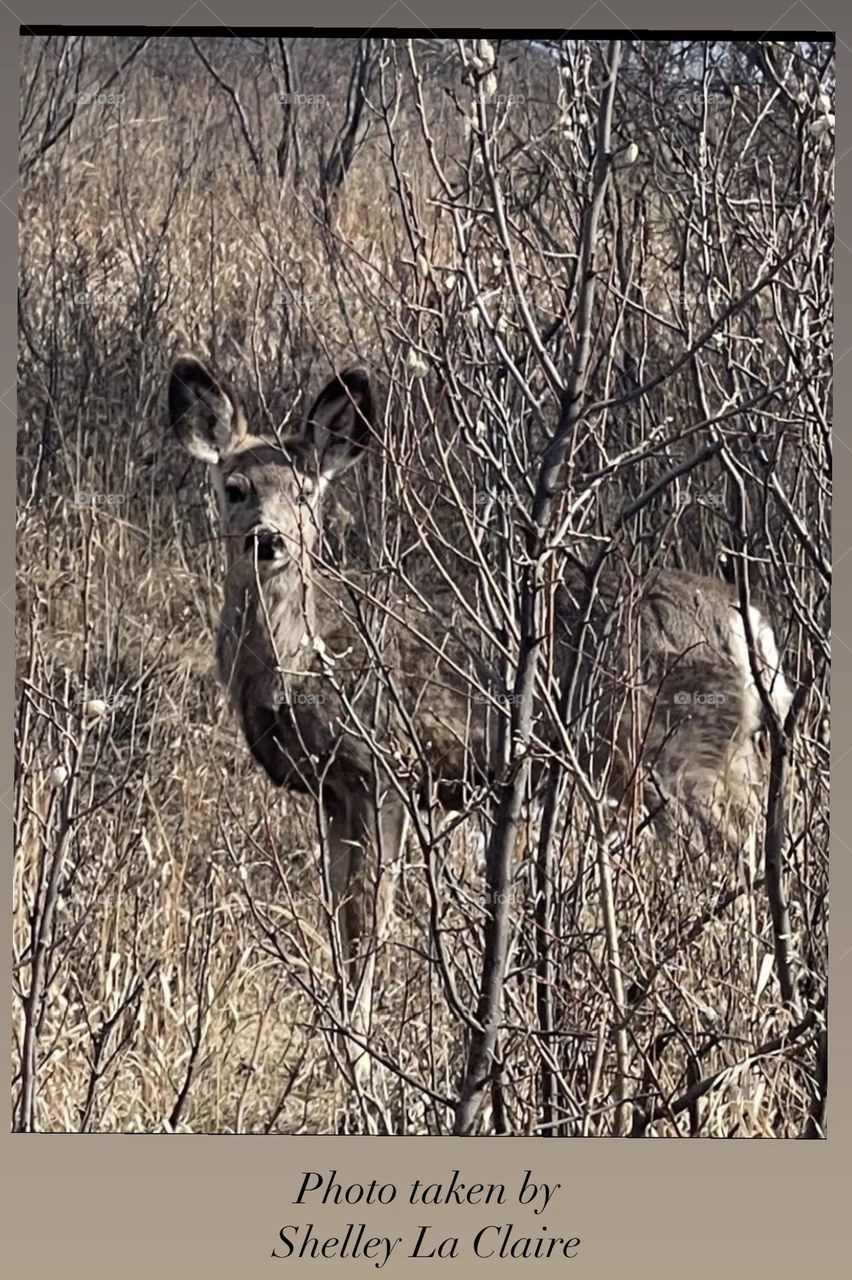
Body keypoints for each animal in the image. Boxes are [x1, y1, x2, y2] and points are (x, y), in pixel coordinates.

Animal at [168, 353, 794, 1099]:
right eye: (235, 488)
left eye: (306, 493)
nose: (269, 540)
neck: (306, 661)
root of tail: (748, 627)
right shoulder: (333, 792)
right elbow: (342, 923)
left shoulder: (387, 767)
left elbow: (369, 922)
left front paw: (363, 1065)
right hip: (718, 754)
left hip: (685, 755)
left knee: (748, 854)